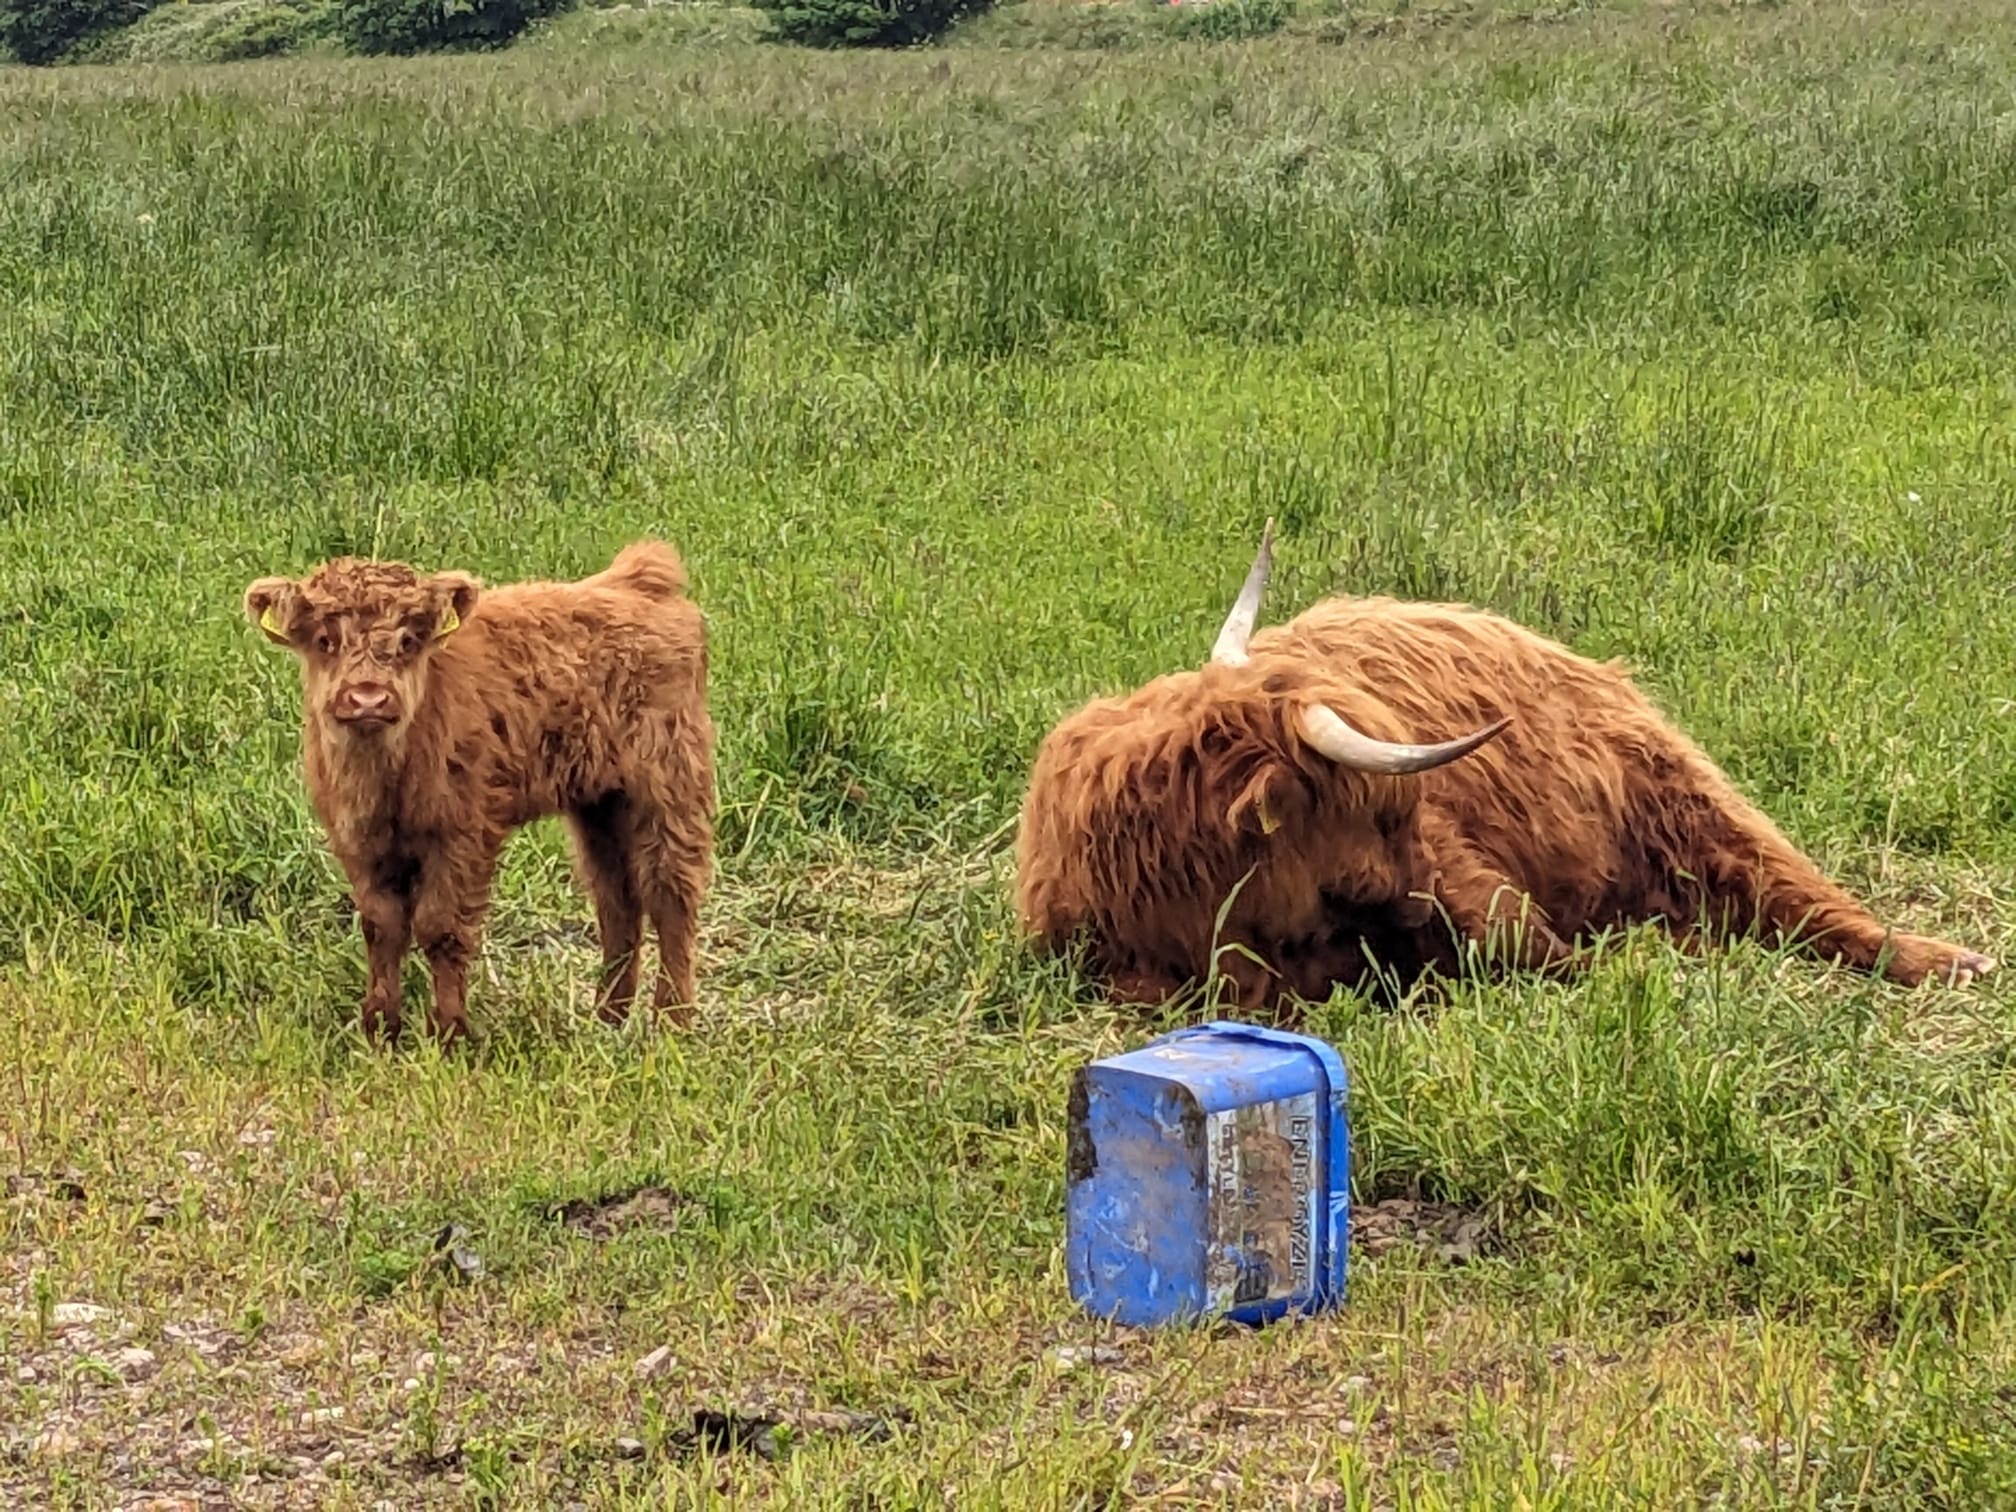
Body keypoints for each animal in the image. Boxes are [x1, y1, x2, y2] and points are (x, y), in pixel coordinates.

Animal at [247, 540, 717, 1048]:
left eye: (408, 642)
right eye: (325, 641)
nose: (368, 697)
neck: (383, 777)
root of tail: (635, 581)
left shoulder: (463, 833)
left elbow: (440, 928)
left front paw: (448, 1033)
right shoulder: (357, 840)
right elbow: (381, 926)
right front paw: (380, 1029)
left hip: (669, 785)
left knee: (669, 893)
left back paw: (672, 1022)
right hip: (600, 802)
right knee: (617, 899)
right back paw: (608, 1018)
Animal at [1016, 528, 1991, 1012]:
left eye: (1407, 812)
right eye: (1379, 816)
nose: (1421, 903)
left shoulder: (1469, 876)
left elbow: (1525, 949)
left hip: (1683, 794)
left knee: (1801, 893)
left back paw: (1953, 962)